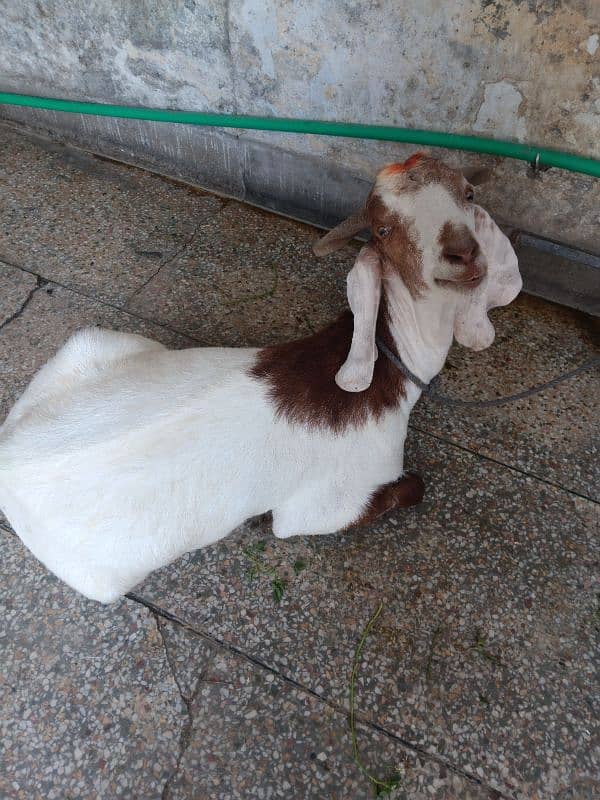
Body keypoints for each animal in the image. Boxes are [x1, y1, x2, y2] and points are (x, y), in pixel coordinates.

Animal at [0, 154, 521, 603]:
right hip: (100, 579)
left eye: (468, 193)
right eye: (384, 228)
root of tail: (7, 457)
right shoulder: (325, 505)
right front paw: (415, 481)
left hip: (92, 344)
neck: (383, 377)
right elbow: (404, 491)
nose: (461, 254)